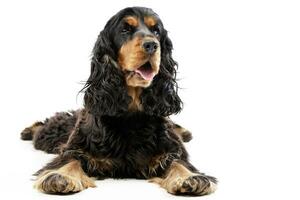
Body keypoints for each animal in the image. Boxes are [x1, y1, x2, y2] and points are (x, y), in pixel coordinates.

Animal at [21, 6, 218, 195]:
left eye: (156, 31)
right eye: (125, 30)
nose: (152, 45)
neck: (130, 112)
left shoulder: (171, 149)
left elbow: (179, 162)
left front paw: (190, 178)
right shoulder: (75, 146)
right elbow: (70, 159)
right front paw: (61, 176)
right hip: (54, 134)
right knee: (47, 126)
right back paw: (28, 130)